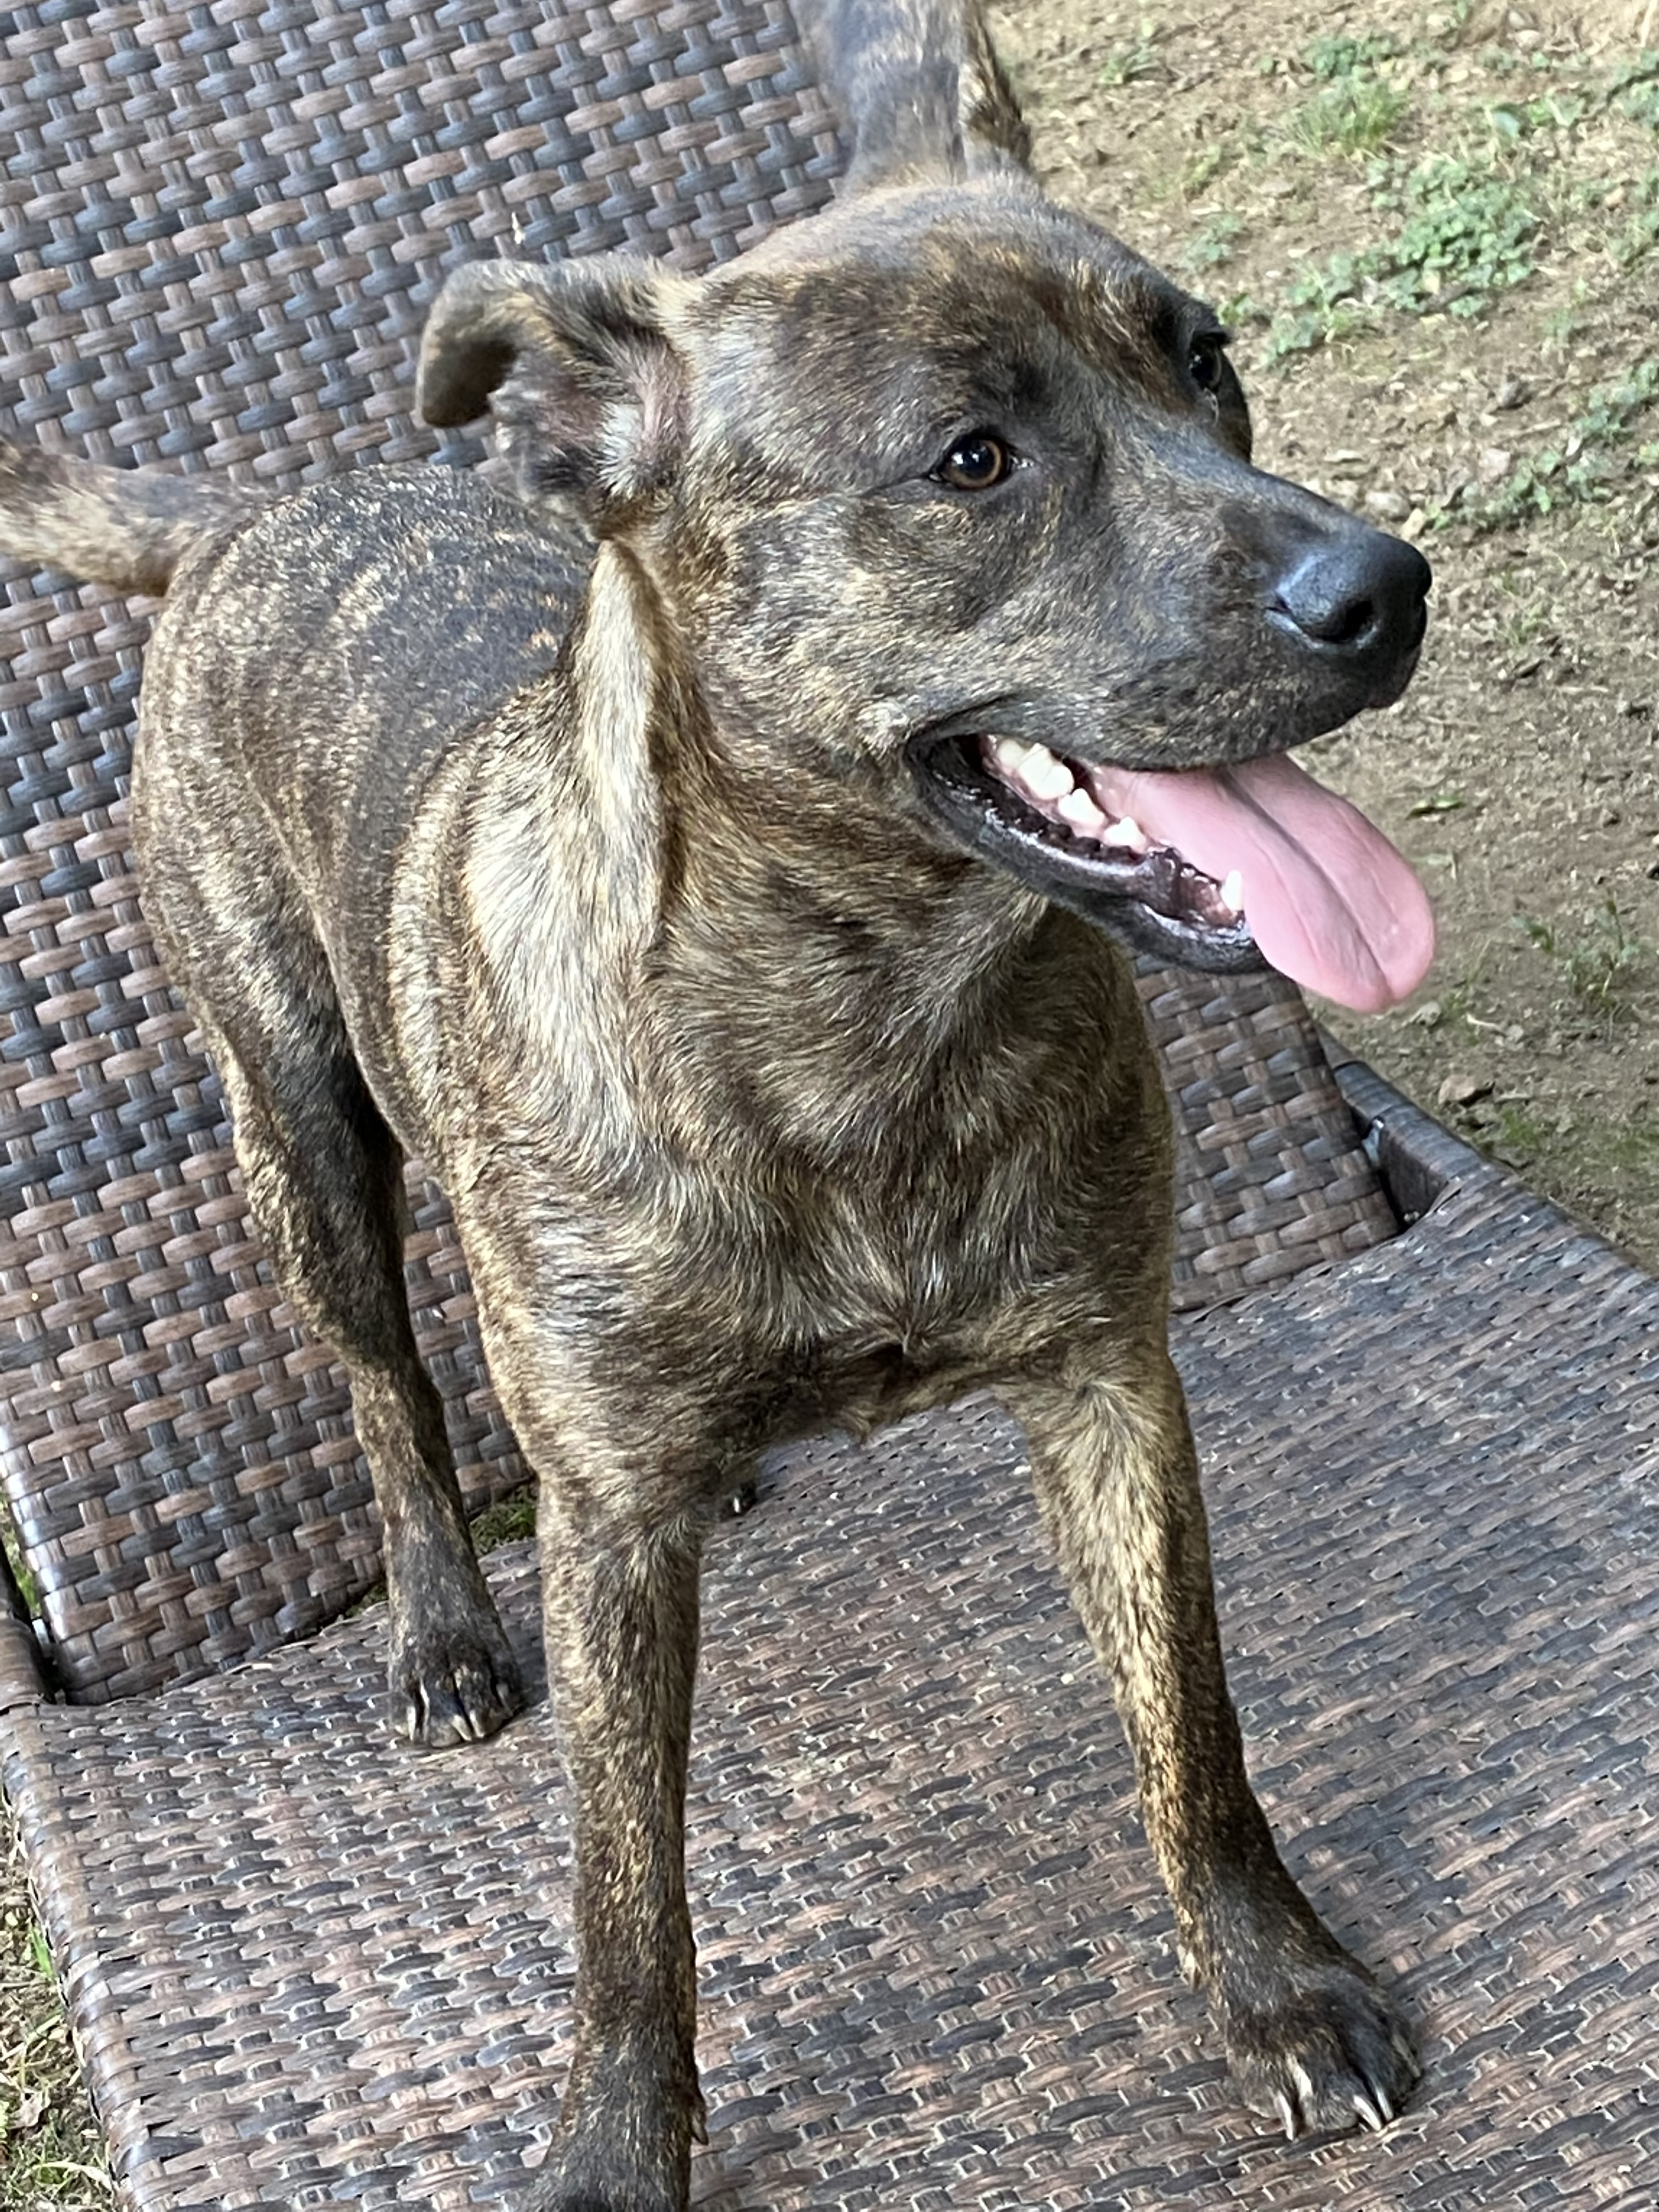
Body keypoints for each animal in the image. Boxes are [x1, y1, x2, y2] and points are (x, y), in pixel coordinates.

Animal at [0, 8, 1433, 2203]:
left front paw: (1271, 1981)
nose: (1382, 585)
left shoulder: (1109, 1382)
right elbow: (628, 1894)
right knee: (389, 1390)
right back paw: (440, 1620)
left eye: (1203, 358)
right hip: (292, 1134)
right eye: (969, 460)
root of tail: (254, 514)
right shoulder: (610, 1559)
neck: (859, 1015)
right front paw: (613, 2136)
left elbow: (1189, 1727)